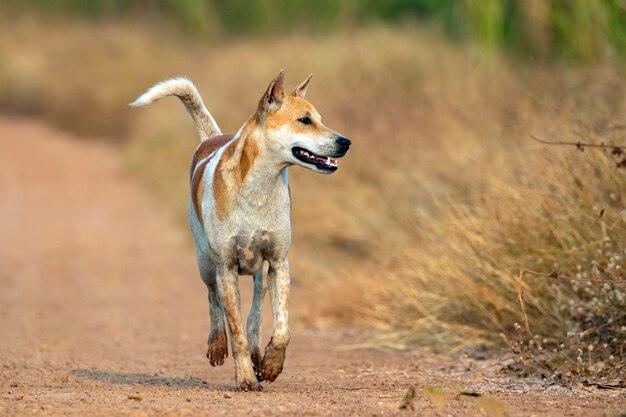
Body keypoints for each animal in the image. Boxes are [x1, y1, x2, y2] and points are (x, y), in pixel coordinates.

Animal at [130, 70, 352, 388]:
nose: (346, 142)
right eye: (304, 120)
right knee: (213, 300)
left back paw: (260, 353)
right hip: (205, 261)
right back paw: (217, 344)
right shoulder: (225, 268)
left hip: (260, 273)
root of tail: (213, 137)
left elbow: (281, 328)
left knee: (256, 314)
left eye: (320, 118)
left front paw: (270, 364)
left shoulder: (279, 262)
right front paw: (246, 377)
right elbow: (235, 332)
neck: (260, 186)